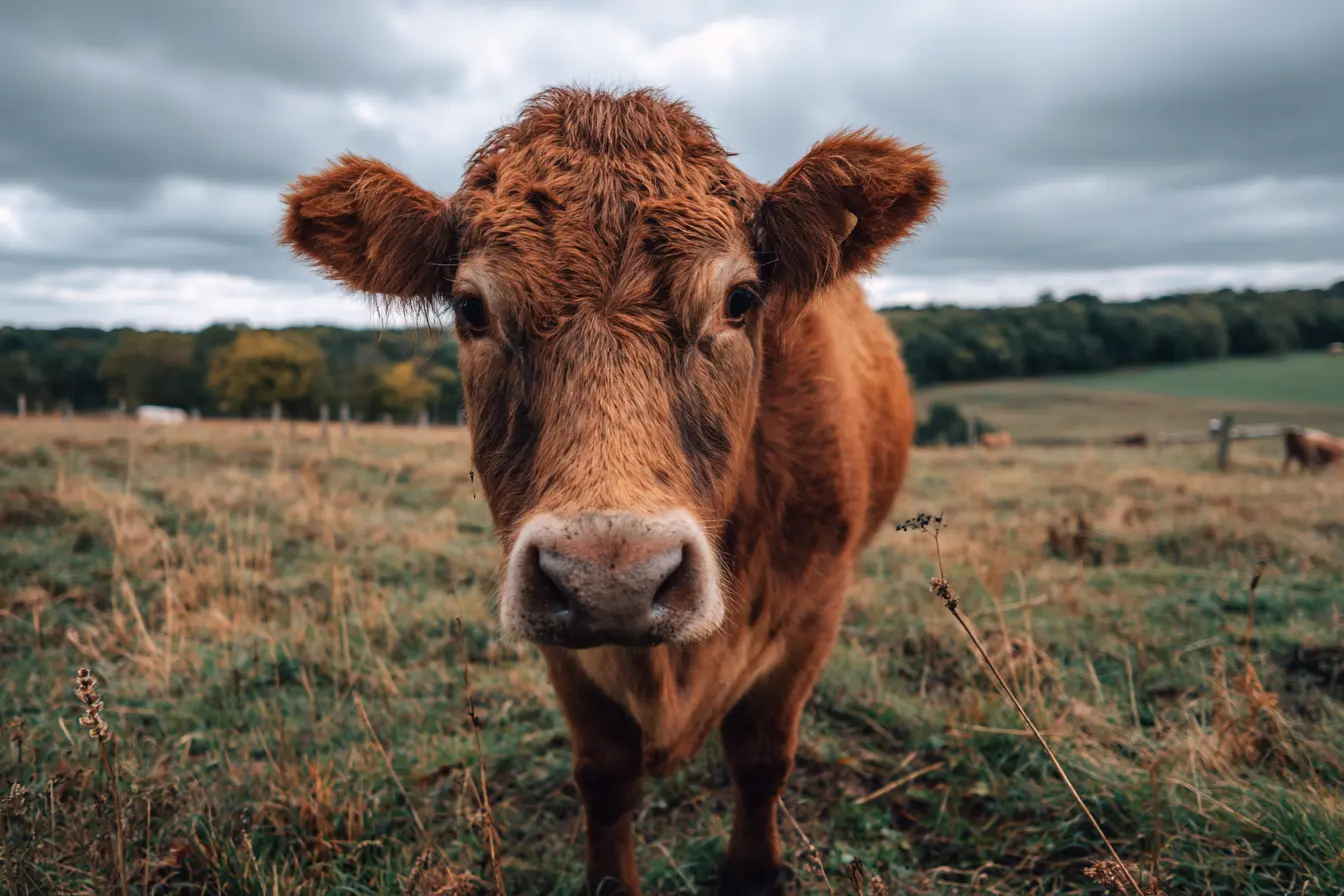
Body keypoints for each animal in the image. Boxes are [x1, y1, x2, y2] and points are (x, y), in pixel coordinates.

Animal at [278, 86, 942, 895]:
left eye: (741, 298)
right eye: (471, 309)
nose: (612, 577)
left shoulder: (815, 605)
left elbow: (761, 758)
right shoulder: (559, 633)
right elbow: (604, 774)